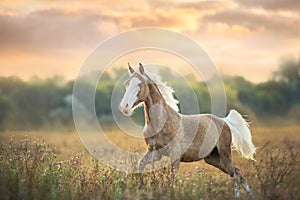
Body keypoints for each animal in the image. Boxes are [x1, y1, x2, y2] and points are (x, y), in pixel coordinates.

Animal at [119, 63, 255, 198]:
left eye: (140, 84)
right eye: (126, 83)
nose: (124, 107)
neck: (161, 122)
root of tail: (224, 121)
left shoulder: (175, 154)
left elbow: (172, 179)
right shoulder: (155, 152)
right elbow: (141, 164)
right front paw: (141, 188)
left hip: (225, 153)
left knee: (235, 175)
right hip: (212, 158)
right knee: (237, 173)